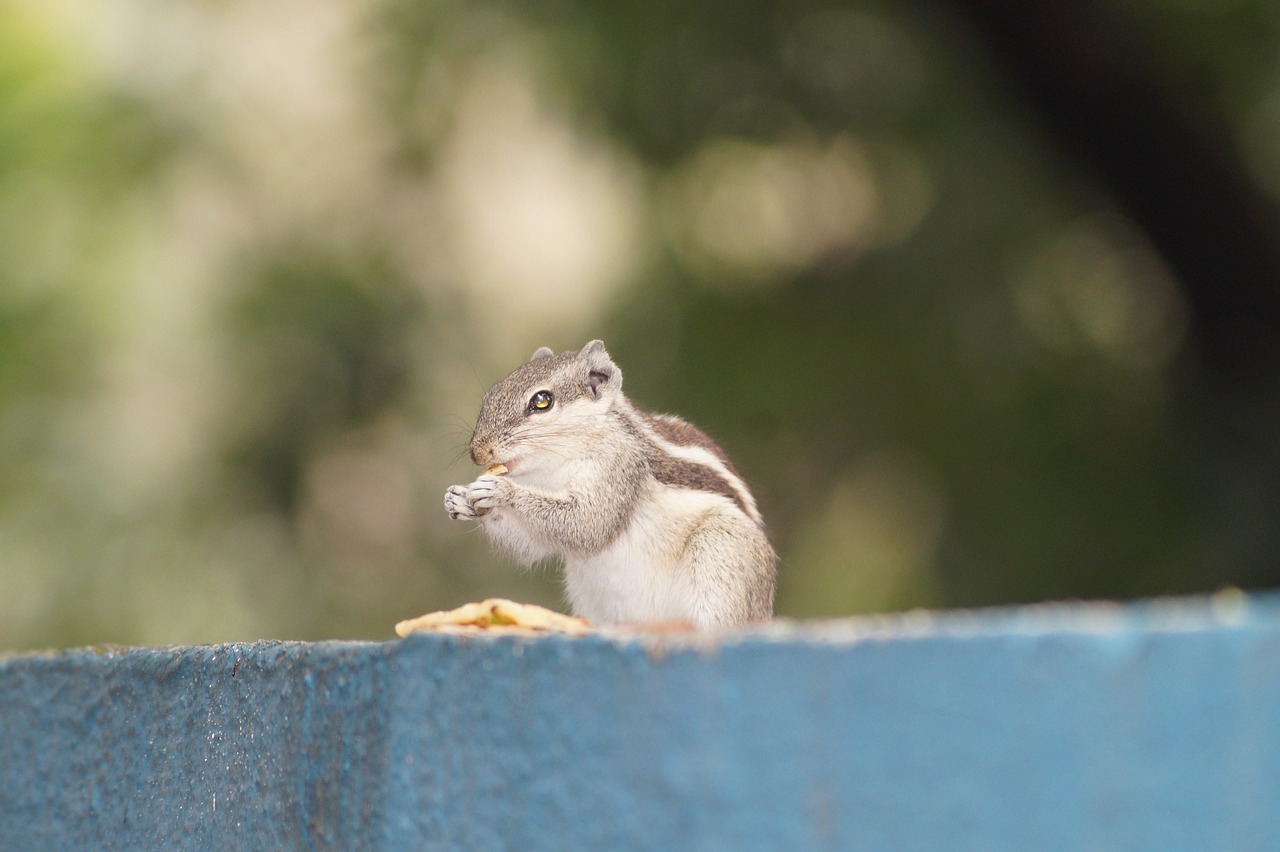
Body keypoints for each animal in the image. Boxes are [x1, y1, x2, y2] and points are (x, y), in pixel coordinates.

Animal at [445, 337, 773, 624]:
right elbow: (529, 546)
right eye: (491, 394)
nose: (478, 452)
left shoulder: (619, 466)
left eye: (542, 401)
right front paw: (459, 499)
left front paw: (502, 491)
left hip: (721, 550)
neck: (553, 470)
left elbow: (587, 523)